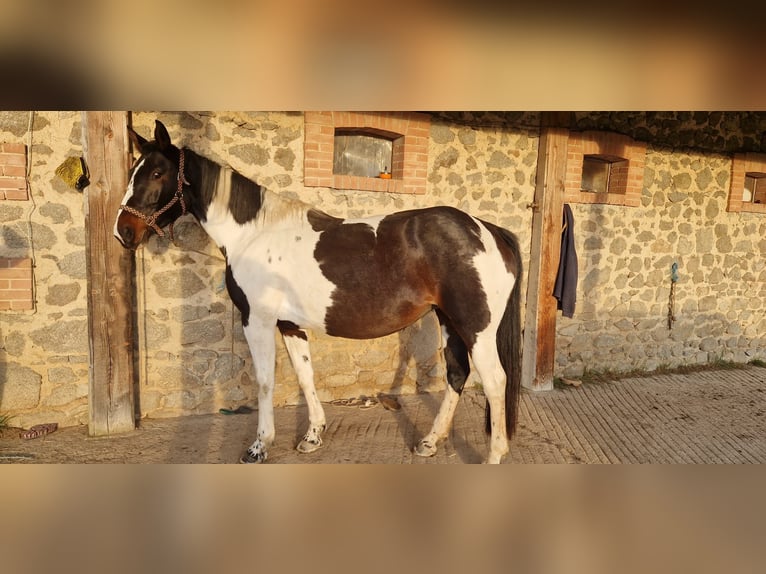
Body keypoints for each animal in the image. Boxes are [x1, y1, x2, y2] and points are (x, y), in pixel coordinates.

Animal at [114, 119, 523, 464]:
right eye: (133, 172)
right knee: (457, 374)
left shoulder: (257, 322)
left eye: (156, 172)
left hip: (476, 327)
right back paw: (428, 442)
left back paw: (493, 455)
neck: (253, 234)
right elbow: (304, 375)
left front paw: (259, 447)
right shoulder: (290, 325)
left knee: (494, 381)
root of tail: (486, 229)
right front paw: (312, 437)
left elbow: (265, 382)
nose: (123, 232)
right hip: (449, 319)